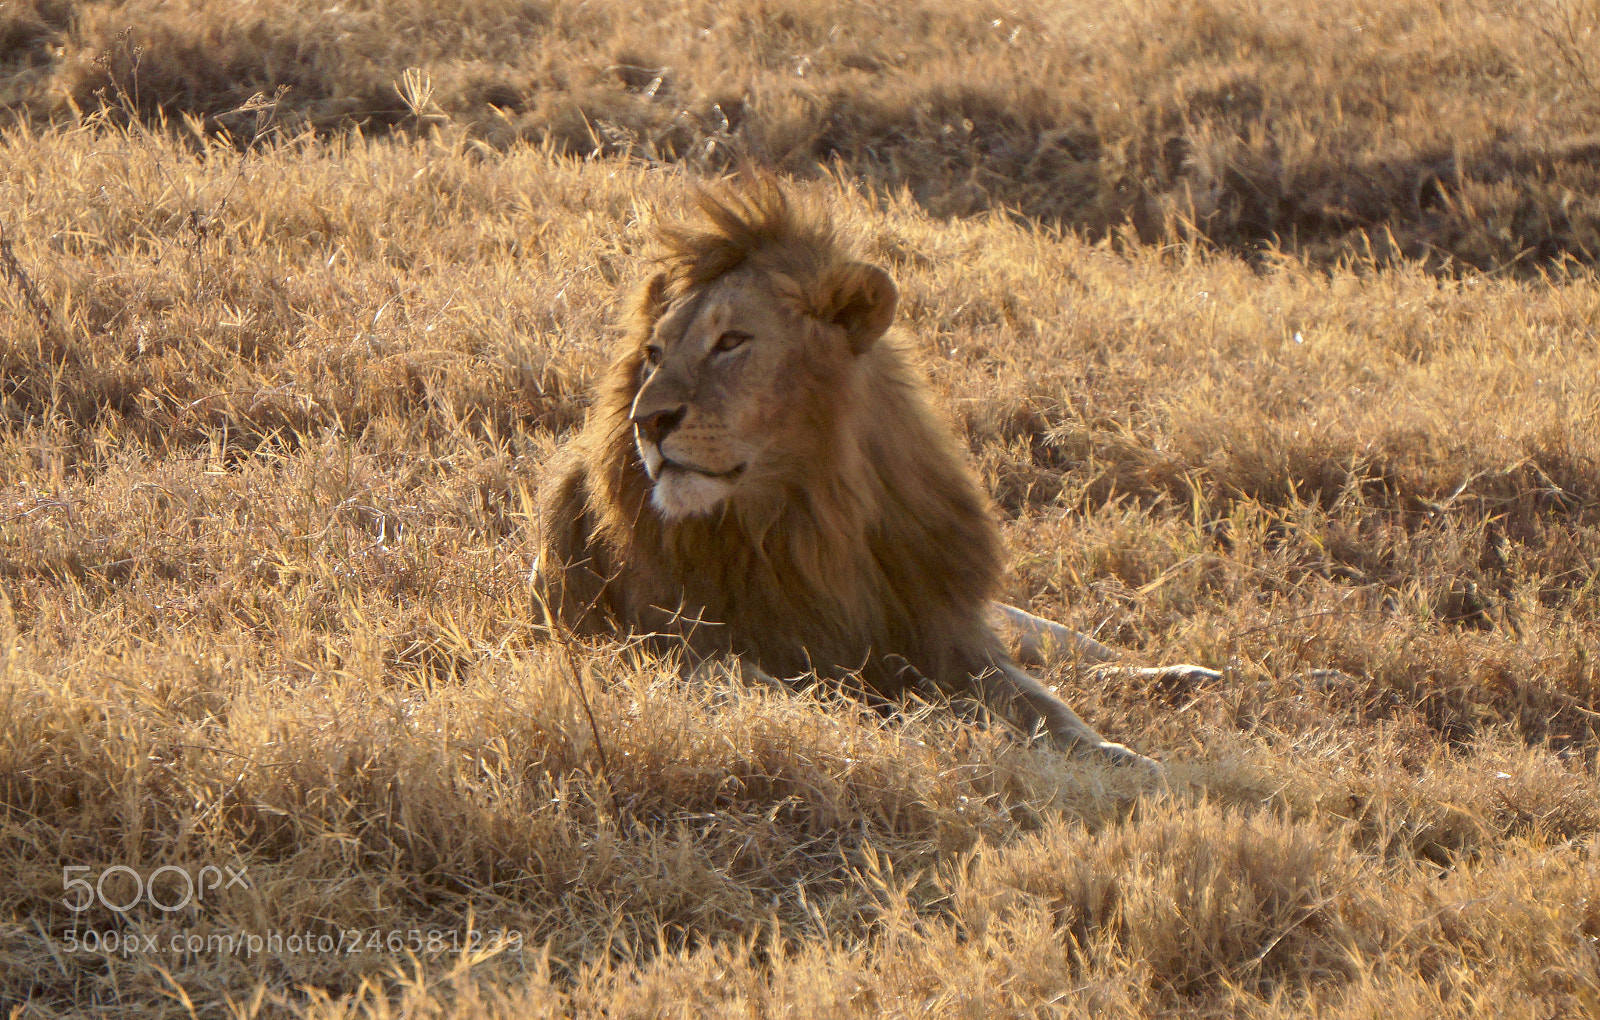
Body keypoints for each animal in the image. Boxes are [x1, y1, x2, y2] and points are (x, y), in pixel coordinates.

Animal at [532, 177, 1216, 770]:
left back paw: (1183, 674)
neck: (801, 516)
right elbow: (772, 686)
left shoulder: (939, 625)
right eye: (653, 353)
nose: (647, 421)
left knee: (1067, 649)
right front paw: (907, 726)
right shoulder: (671, 647)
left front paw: (1123, 759)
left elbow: (1042, 702)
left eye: (731, 342)